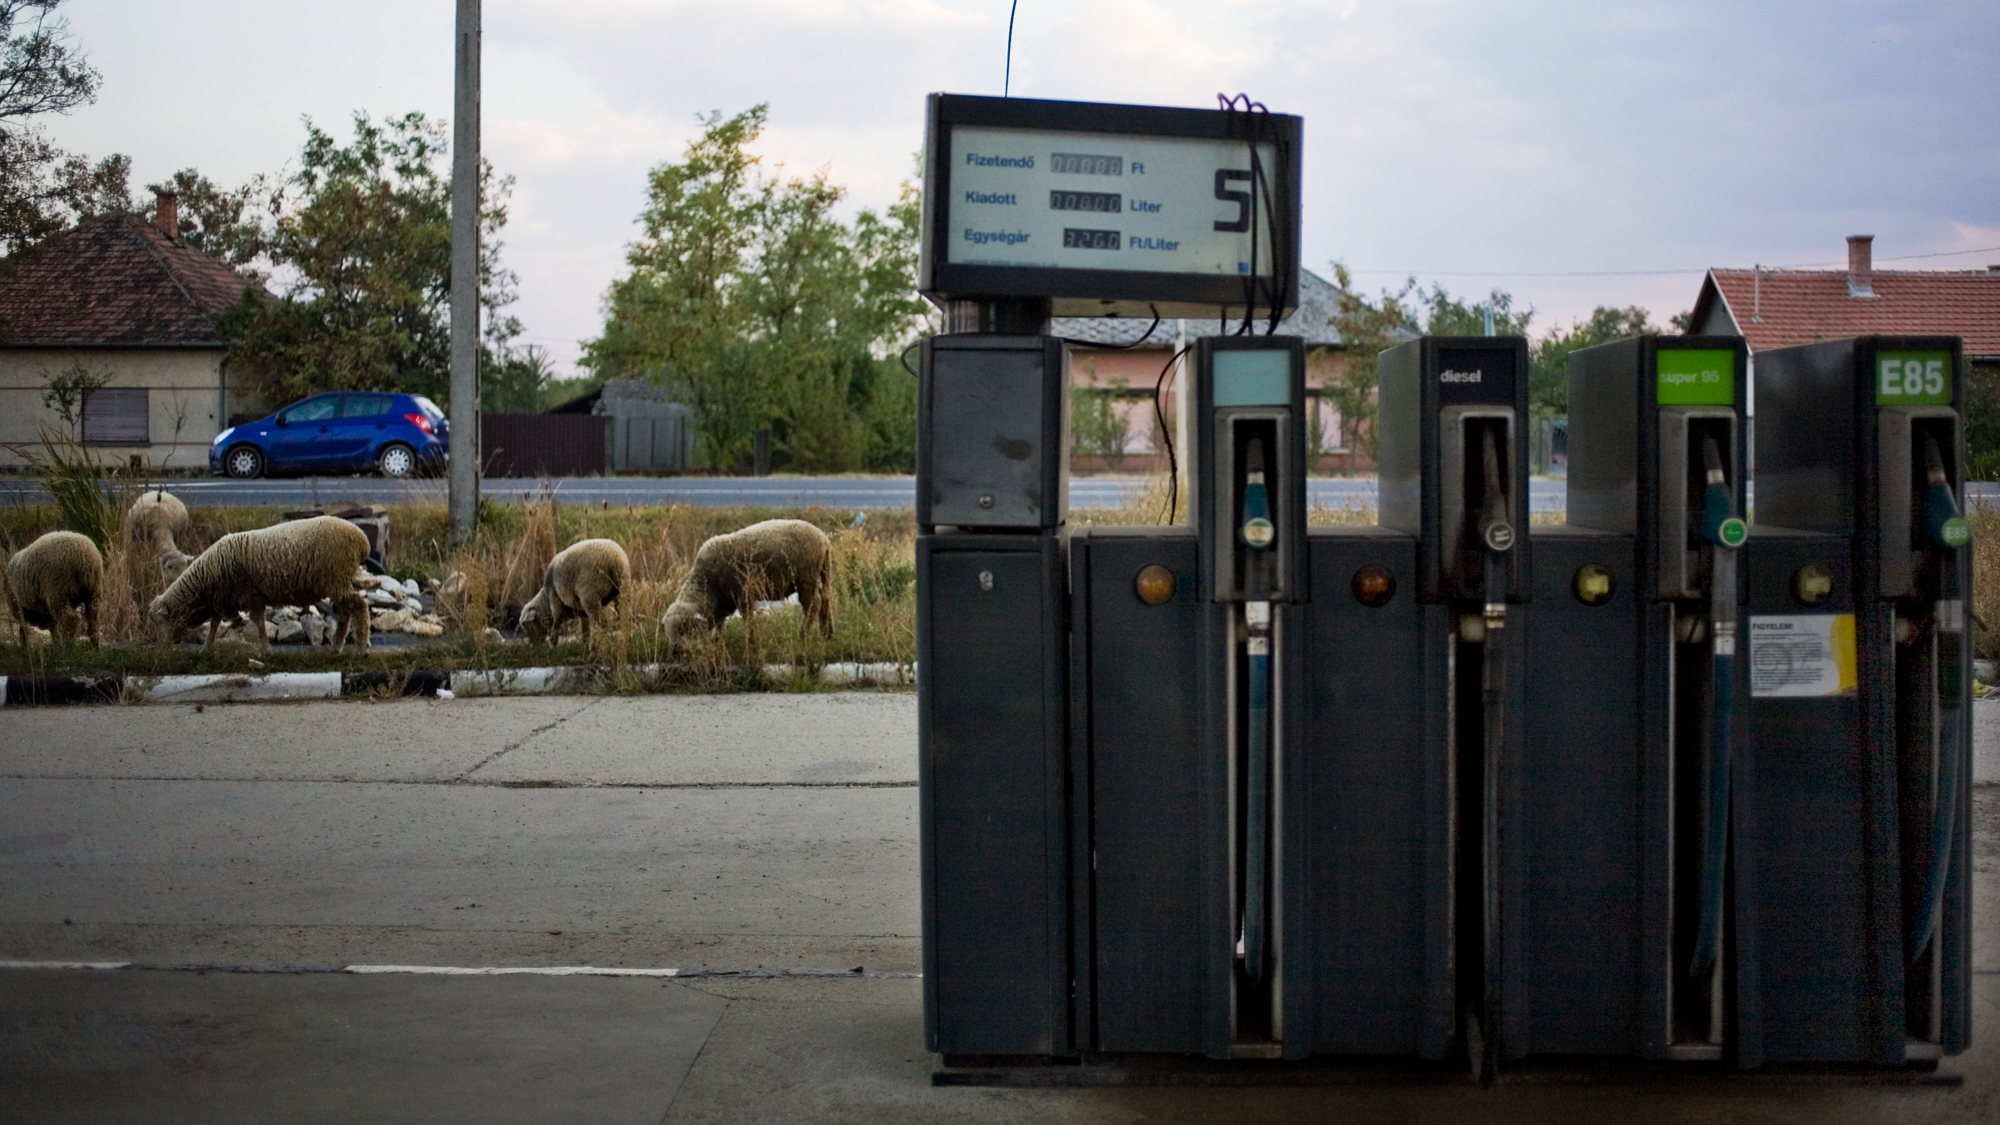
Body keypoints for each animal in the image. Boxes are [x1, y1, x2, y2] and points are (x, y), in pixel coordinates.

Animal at [150, 516, 374, 652]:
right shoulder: (222, 599)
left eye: (161, 622)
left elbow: (258, 623)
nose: (161, 649)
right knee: (345, 612)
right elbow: (214, 623)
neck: (204, 579)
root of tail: (363, 540)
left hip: (337, 579)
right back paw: (337, 648)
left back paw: (361, 647)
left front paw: (266, 651)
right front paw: (207, 648)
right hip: (337, 583)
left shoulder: (250, 596)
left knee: (360, 606)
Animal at [664, 520, 836, 648]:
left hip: (806, 576)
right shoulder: (724, 602)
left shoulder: (743, 592)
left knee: (813, 603)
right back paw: (827, 634)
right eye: (668, 631)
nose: (675, 651)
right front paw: (717, 642)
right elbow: (719, 623)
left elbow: (747, 619)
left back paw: (804, 636)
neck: (707, 584)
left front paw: (750, 642)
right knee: (826, 598)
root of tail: (823, 539)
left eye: (683, 629)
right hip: (823, 571)